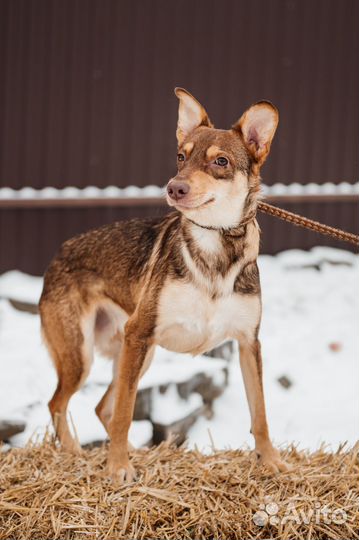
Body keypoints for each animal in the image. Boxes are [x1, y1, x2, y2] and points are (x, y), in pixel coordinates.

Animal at [39, 87, 290, 480]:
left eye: (220, 162)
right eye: (180, 157)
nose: (174, 188)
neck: (216, 246)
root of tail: (60, 251)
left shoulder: (249, 343)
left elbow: (260, 412)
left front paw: (270, 460)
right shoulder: (141, 332)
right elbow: (127, 412)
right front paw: (118, 468)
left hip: (137, 354)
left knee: (102, 407)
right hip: (88, 355)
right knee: (62, 403)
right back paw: (75, 452)